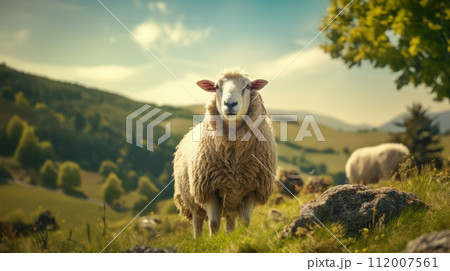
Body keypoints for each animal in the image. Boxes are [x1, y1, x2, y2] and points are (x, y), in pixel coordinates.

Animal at [173, 69, 276, 239]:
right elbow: (214, 224)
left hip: (231, 200)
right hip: (192, 200)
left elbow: (245, 221)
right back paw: (198, 240)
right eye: (216, 86)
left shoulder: (252, 189)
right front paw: (213, 240)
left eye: (248, 86)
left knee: (230, 222)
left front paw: (242, 237)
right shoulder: (208, 190)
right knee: (197, 222)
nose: (230, 104)